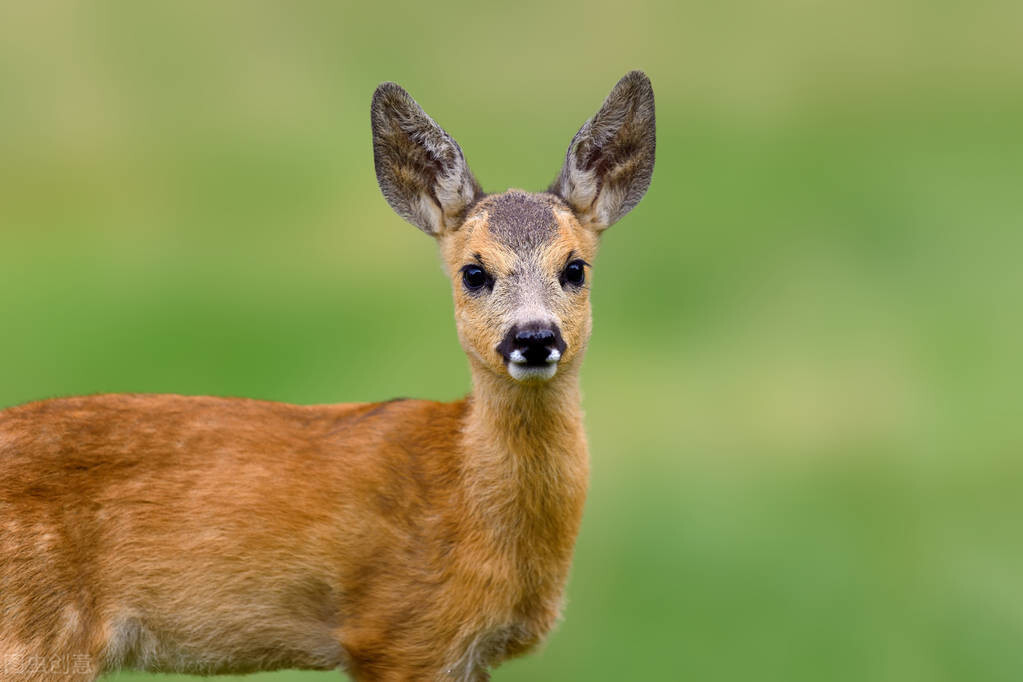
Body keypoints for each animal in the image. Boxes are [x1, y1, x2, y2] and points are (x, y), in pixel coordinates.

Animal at [0, 70, 654, 682]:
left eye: (575, 268)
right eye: (474, 272)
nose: (534, 337)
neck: (465, 494)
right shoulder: (402, 633)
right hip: (35, 638)